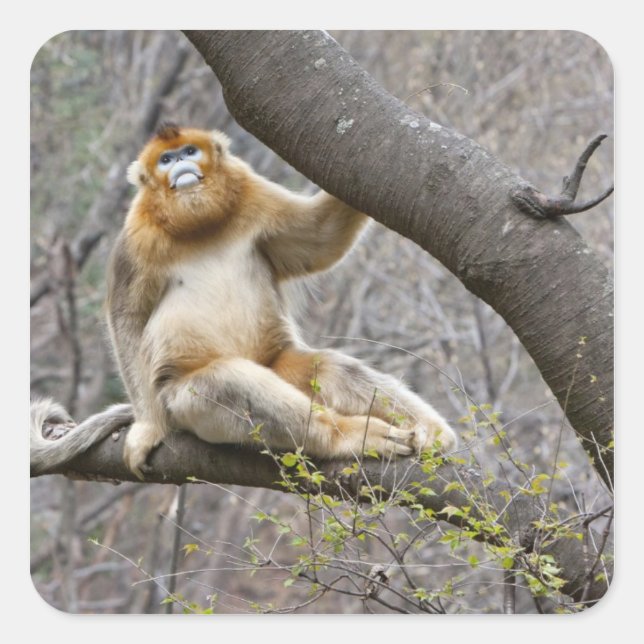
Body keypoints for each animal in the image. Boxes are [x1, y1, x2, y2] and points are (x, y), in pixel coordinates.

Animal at [31, 123, 457, 479]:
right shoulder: (135, 236)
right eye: (166, 160)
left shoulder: (253, 192)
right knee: (226, 382)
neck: (199, 224)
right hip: (180, 405)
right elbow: (127, 319)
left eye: (189, 150)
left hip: (277, 361)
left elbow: (320, 239)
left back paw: (430, 431)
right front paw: (148, 429)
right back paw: (349, 436)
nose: (181, 165)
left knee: (331, 369)